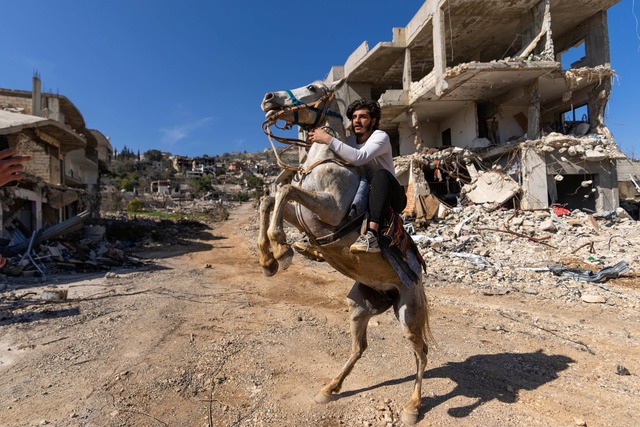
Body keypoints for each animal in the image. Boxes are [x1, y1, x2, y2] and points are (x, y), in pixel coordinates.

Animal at [258, 77, 432, 424]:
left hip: (409, 314)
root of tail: (418, 283)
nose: (268, 98)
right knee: (358, 347)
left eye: (312, 87)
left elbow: (284, 190)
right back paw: (329, 389)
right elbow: (269, 199)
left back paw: (411, 408)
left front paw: (281, 250)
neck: (327, 164)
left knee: (420, 353)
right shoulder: (303, 213)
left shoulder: (330, 209)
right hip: (360, 306)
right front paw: (268, 259)